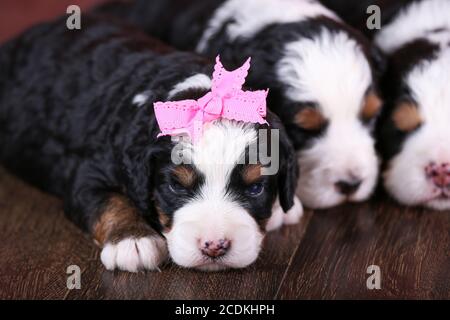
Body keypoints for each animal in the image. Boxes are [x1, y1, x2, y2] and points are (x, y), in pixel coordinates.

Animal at [0, 15, 302, 272]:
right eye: (176, 186)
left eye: (255, 188)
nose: (215, 246)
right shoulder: (88, 172)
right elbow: (110, 201)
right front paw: (133, 240)